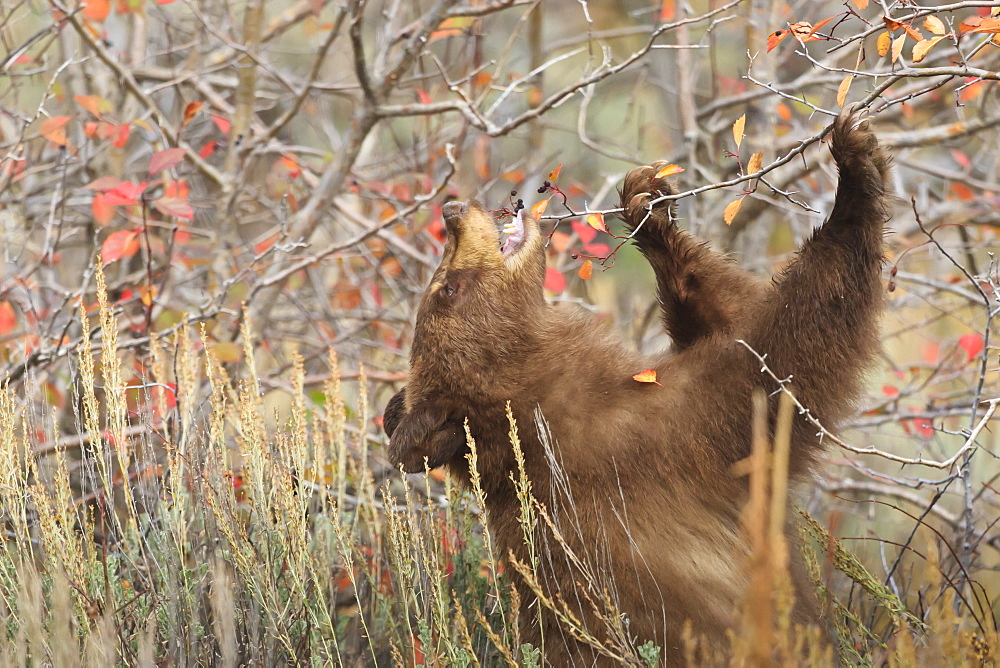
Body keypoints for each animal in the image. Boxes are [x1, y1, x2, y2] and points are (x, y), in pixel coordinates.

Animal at [380, 109, 892, 664]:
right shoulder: (656, 438)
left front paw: (648, 208)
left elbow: (726, 314)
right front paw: (854, 169)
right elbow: (781, 361)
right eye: (447, 288)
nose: (452, 209)